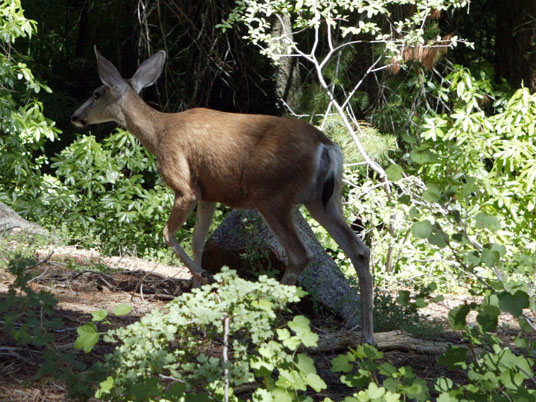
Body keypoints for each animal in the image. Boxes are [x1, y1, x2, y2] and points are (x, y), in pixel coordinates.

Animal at [70, 46, 376, 342]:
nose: (75, 116)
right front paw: (195, 292)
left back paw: (265, 317)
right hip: (324, 200)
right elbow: (197, 241)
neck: (158, 134)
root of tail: (326, 147)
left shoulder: (185, 186)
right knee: (360, 250)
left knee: (301, 254)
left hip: (272, 195)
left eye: (97, 93)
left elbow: (168, 234)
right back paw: (367, 335)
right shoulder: (209, 194)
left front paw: (203, 277)